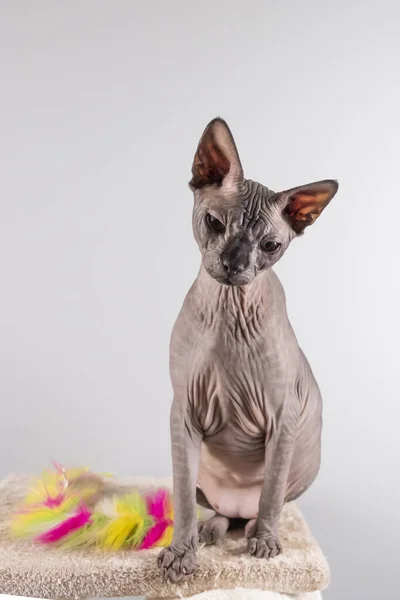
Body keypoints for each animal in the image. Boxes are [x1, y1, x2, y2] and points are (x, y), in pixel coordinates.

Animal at [158, 117, 340, 580]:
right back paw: (208, 530)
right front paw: (181, 553)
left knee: (260, 507)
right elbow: (181, 499)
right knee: (220, 512)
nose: (234, 266)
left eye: (271, 246)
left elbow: (272, 492)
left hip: (304, 463)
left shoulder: (282, 418)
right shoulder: (183, 413)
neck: (228, 314)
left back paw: (256, 529)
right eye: (214, 223)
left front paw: (266, 544)